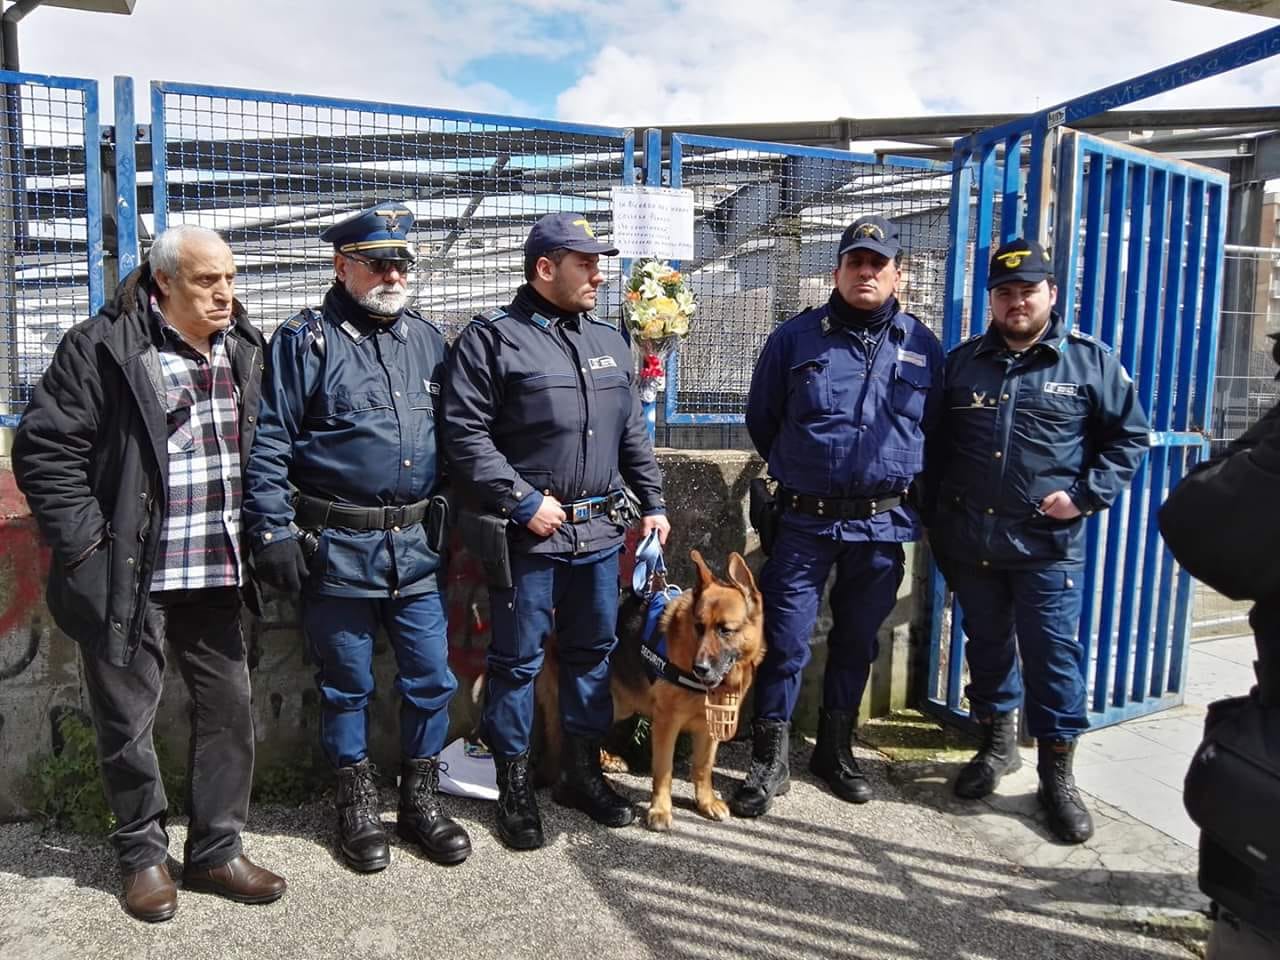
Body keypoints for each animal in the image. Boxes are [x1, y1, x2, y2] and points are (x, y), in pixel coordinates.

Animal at [535, 552, 762, 829]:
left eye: (725, 630)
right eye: (699, 627)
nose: (700, 668)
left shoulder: (709, 726)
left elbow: (703, 767)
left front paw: (705, 801)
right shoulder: (666, 723)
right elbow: (664, 771)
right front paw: (660, 810)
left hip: (615, 704)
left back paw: (606, 762)